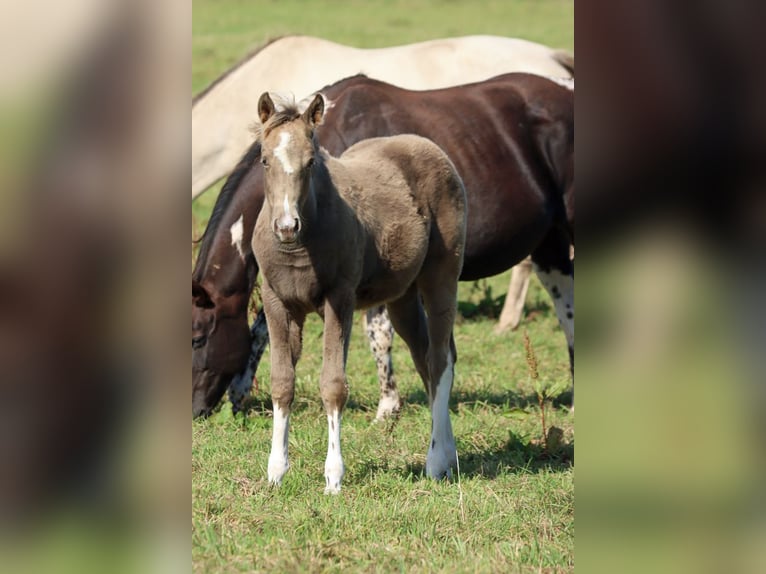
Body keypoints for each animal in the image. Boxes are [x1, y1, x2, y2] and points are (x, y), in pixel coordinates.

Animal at [192, 72, 573, 419]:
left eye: (197, 338)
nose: (195, 411)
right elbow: (262, 329)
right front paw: (240, 393)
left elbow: (377, 334)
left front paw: (388, 405)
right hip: (549, 245)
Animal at [252, 93, 467, 492]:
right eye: (264, 159)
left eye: (311, 161)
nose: (287, 226)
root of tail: (428, 146)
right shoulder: (277, 301)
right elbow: (282, 382)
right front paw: (275, 472)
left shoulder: (339, 299)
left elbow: (333, 384)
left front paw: (334, 476)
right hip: (402, 296)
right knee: (425, 357)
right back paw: (450, 456)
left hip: (441, 277)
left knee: (440, 360)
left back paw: (435, 461)